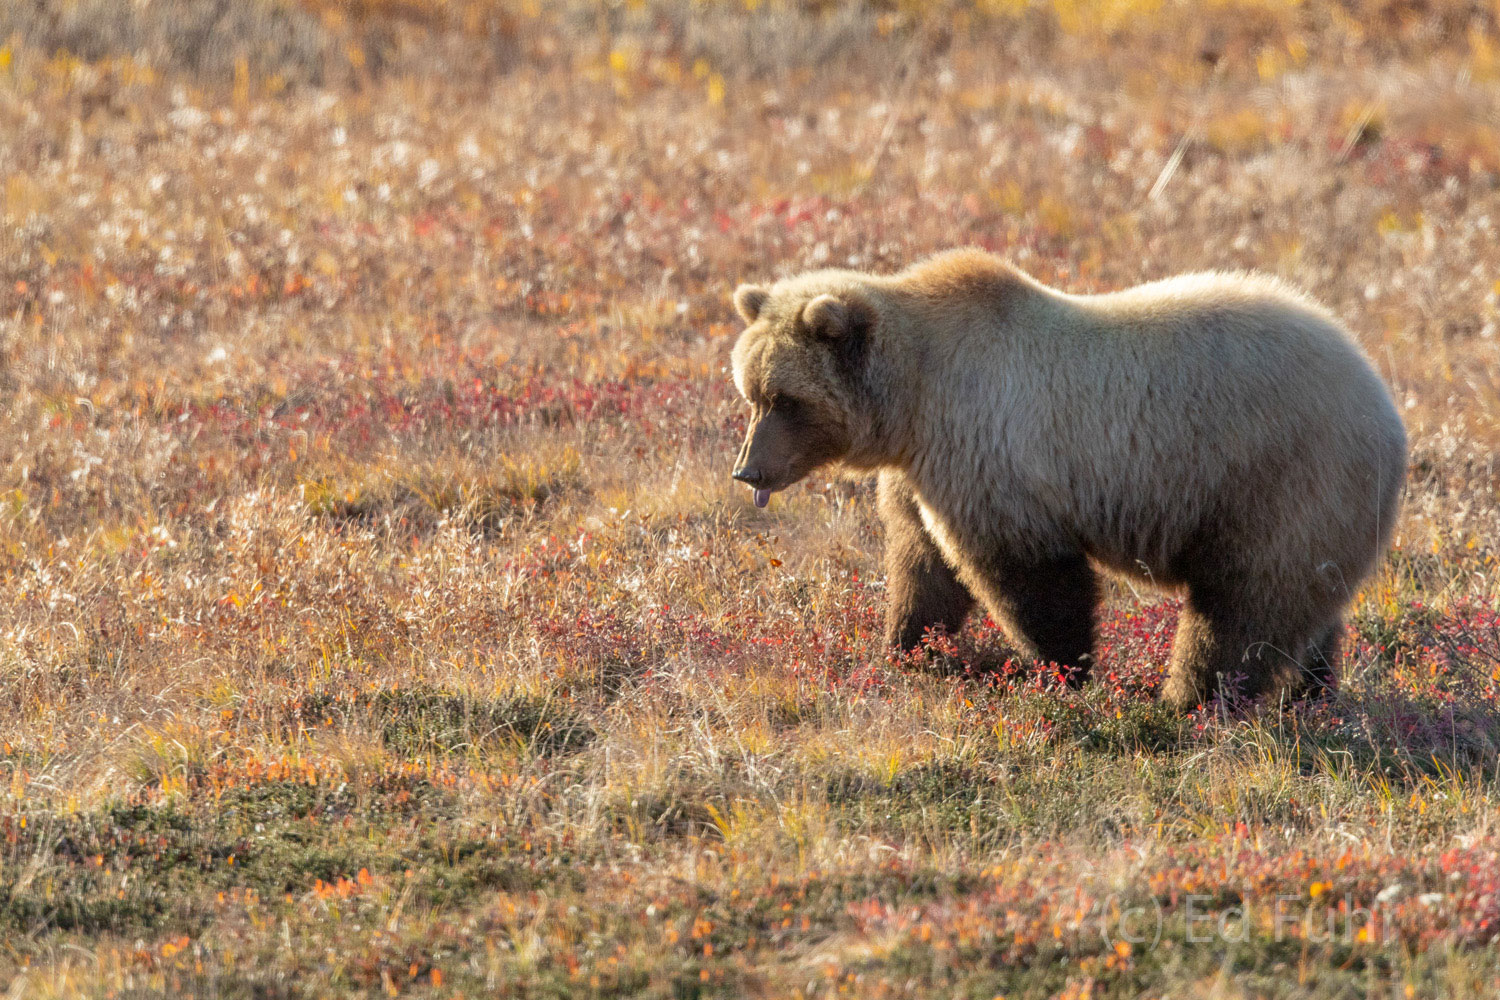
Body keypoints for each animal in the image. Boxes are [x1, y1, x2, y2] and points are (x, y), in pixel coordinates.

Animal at [732, 245, 1410, 707]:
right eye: (751, 392)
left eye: (787, 399)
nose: (747, 470)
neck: (912, 404)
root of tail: (1386, 405)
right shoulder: (923, 474)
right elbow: (924, 567)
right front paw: (905, 649)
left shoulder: (991, 451)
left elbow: (1029, 580)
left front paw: (1065, 673)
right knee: (1306, 610)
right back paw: (1310, 693)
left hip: (1278, 480)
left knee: (1241, 611)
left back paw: (1186, 702)